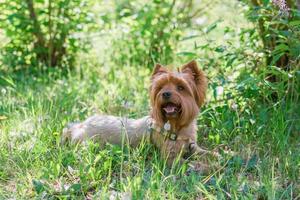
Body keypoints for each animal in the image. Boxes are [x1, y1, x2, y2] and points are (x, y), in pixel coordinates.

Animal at [61, 61, 211, 167]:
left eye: (181, 87)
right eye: (160, 87)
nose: (165, 94)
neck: (178, 126)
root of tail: (79, 125)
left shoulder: (193, 147)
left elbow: (206, 153)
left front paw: (215, 156)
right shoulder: (170, 158)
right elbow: (193, 164)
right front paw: (210, 168)